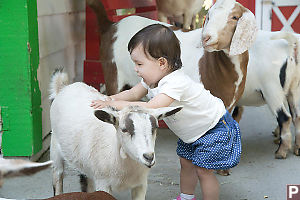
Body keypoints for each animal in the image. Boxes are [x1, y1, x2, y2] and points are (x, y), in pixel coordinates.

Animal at [48, 69, 183, 199]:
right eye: (124, 129)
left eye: (154, 128)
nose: (149, 157)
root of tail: (64, 87)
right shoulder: (103, 183)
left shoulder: (140, 184)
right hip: (55, 149)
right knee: (58, 176)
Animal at [234, 31, 300, 159]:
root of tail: (291, 46)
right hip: (294, 89)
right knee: (297, 117)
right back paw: (297, 149)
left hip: (272, 90)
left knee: (285, 117)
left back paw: (281, 152)